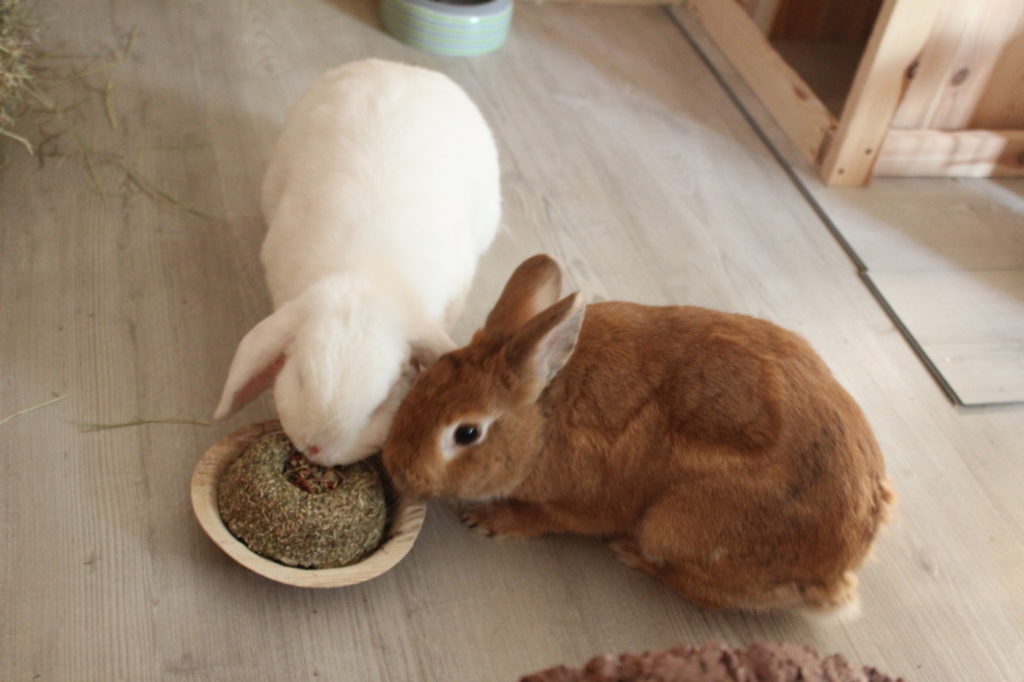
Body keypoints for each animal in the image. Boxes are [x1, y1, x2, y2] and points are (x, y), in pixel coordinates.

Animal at [380, 251, 892, 606]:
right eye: (423, 380)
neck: (546, 417)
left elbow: (545, 519)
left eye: (466, 433)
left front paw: (489, 520)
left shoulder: (582, 504)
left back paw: (629, 552)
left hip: (676, 522)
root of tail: (843, 563)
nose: (398, 469)